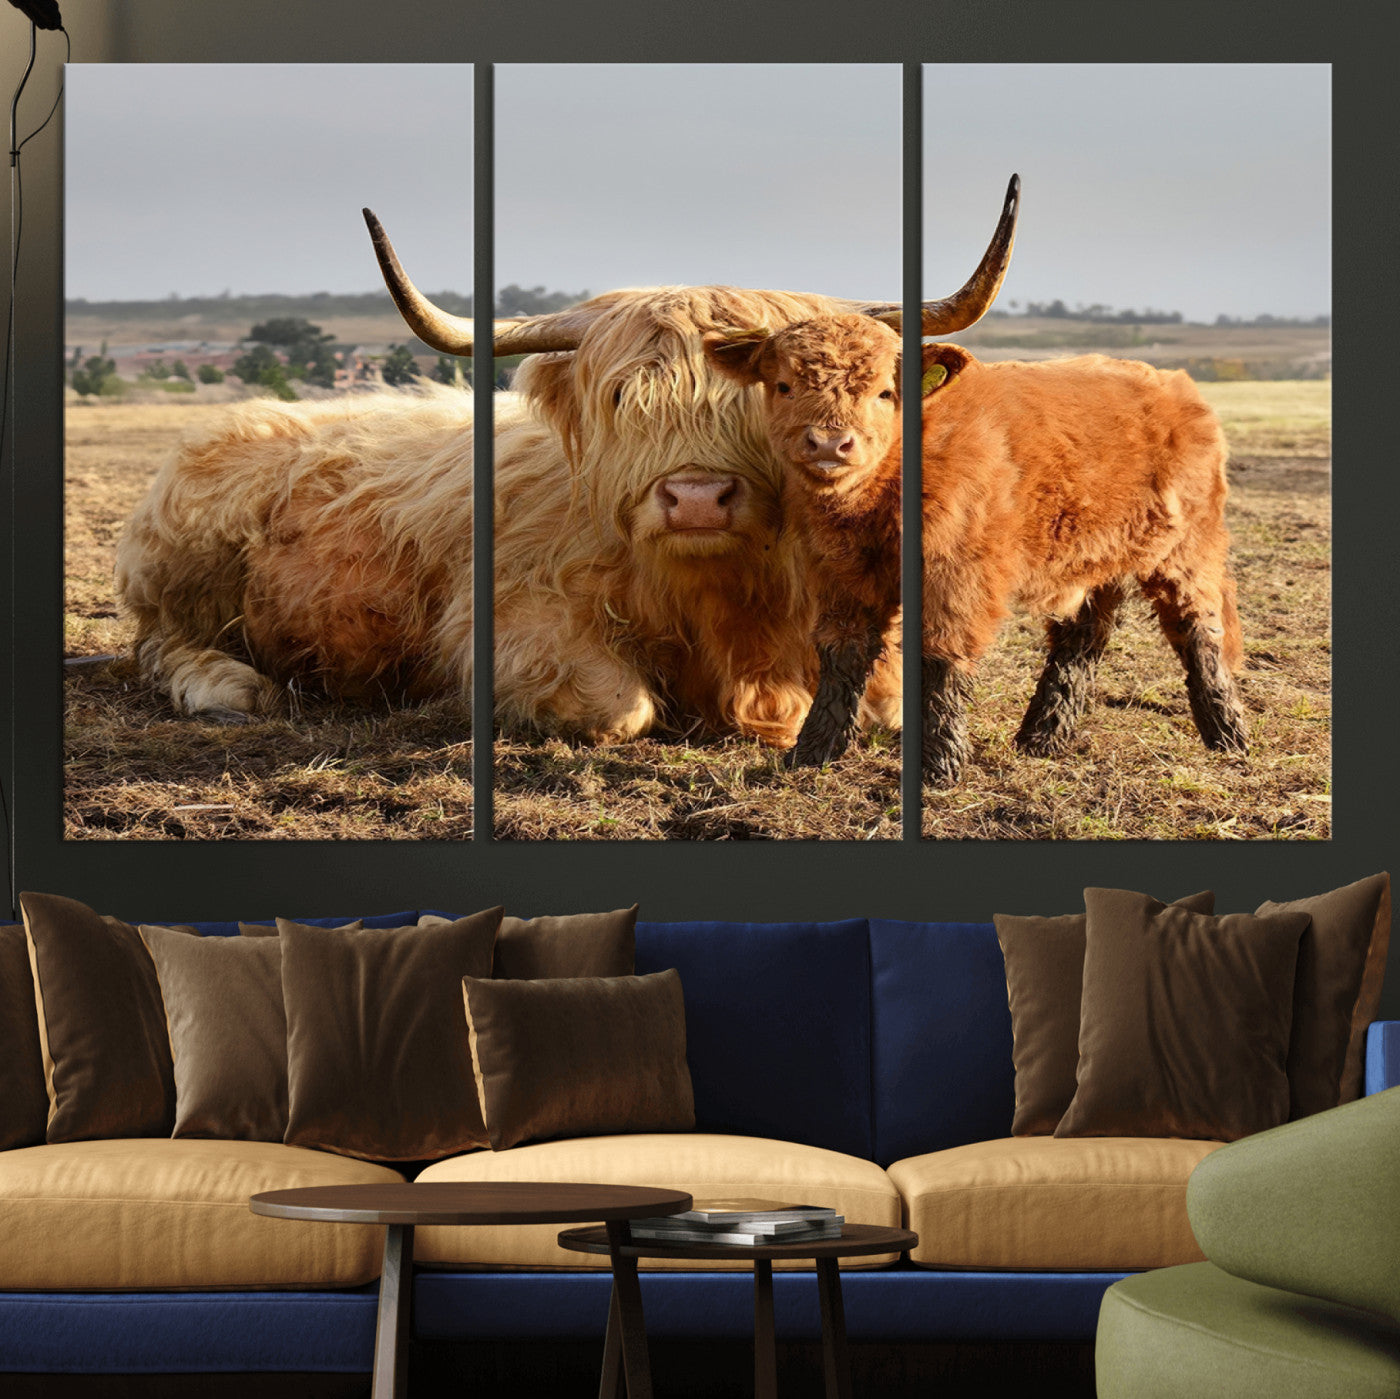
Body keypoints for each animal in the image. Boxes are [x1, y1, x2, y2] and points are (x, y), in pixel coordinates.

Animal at [116, 180, 1020, 747]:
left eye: (769, 392)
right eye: (622, 397)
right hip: (185, 573)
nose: (697, 498)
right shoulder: (510, 625)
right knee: (160, 645)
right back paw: (228, 689)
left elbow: (884, 702)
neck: (724, 599)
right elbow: (619, 706)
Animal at [704, 314, 1249, 781]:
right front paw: (812, 754)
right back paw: (1042, 738)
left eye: (884, 391)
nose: (829, 444)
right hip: (1094, 559)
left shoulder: (955, 575)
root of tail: (1175, 384)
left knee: (1198, 630)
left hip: (1187, 550)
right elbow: (842, 655)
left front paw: (939, 765)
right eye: (784, 385)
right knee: (1081, 641)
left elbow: (939, 659)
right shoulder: (839, 573)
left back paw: (1229, 737)